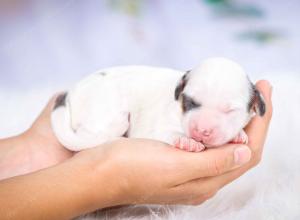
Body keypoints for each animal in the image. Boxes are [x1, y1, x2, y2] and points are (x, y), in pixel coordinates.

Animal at [51, 57, 264, 152]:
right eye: (190, 102)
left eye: (229, 110)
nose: (202, 131)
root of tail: (71, 93)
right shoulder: (158, 126)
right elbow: (168, 133)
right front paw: (186, 140)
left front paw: (238, 134)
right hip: (105, 116)